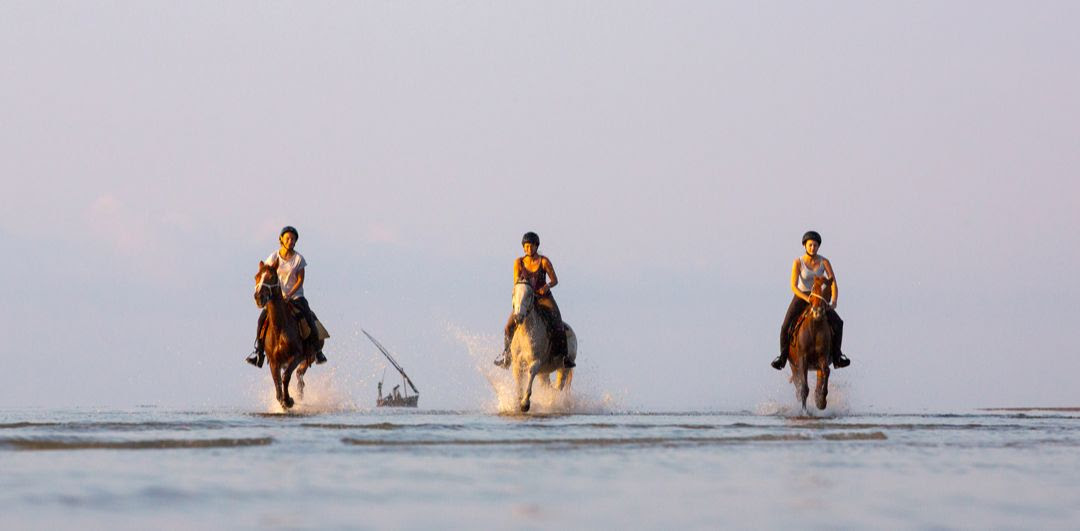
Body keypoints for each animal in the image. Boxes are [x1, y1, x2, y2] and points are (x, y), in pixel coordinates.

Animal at [508, 281, 578, 413]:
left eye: (529, 295)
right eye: (513, 293)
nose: (518, 317)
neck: (526, 333)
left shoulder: (536, 362)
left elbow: (530, 375)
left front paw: (525, 404)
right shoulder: (517, 363)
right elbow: (519, 382)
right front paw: (518, 402)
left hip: (563, 369)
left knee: (558, 387)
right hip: (544, 373)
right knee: (548, 386)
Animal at [789, 275, 833, 412]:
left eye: (828, 290)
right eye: (814, 288)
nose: (817, 311)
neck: (815, 327)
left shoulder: (823, 356)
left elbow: (826, 371)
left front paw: (821, 400)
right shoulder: (803, 359)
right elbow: (804, 388)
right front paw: (805, 411)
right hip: (793, 365)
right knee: (797, 383)